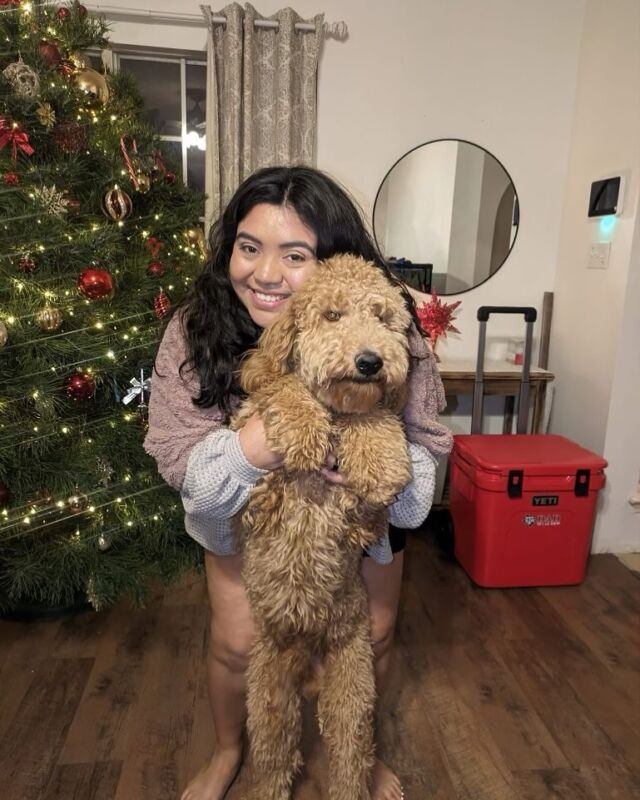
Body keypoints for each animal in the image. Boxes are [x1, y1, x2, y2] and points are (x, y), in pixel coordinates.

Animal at [232, 253, 412, 796]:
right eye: (332, 315)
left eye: (382, 318)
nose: (370, 362)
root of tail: (308, 653)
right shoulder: (247, 425)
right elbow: (283, 385)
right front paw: (303, 426)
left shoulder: (364, 511)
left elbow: (376, 418)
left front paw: (377, 456)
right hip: (268, 689)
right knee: (274, 760)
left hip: (352, 682)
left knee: (350, 758)